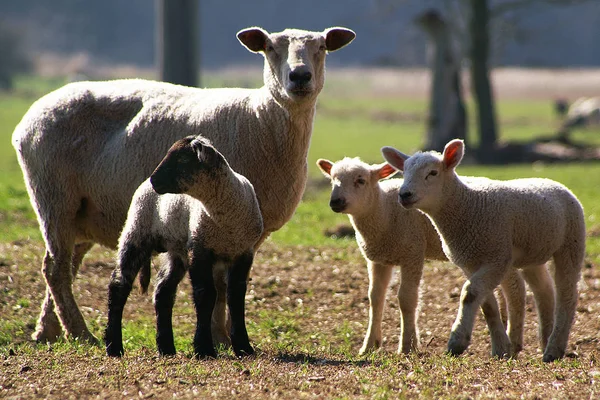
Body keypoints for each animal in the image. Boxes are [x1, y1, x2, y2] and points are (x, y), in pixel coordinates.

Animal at [103, 136, 262, 358]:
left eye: (183, 159)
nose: (154, 181)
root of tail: (143, 186)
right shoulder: (199, 248)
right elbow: (205, 294)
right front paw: (204, 348)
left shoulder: (244, 252)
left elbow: (236, 296)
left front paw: (243, 347)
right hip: (136, 230)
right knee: (119, 285)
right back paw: (114, 346)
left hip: (176, 252)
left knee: (163, 292)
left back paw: (166, 348)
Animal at [316, 156, 528, 356]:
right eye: (332, 180)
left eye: (360, 180)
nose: (335, 202)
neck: (384, 211)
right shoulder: (378, 259)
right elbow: (375, 298)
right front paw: (369, 346)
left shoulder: (413, 253)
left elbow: (406, 298)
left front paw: (407, 346)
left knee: (514, 287)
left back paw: (512, 341)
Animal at [382, 139, 584, 360]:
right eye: (404, 172)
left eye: (432, 173)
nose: (404, 195)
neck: (468, 206)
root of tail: (553, 182)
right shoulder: (469, 263)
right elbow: (486, 304)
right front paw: (500, 348)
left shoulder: (497, 259)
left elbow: (470, 293)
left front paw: (457, 342)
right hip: (533, 252)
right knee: (544, 289)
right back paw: (544, 340)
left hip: (571, 243)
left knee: (567, 294)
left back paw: (554, 349)